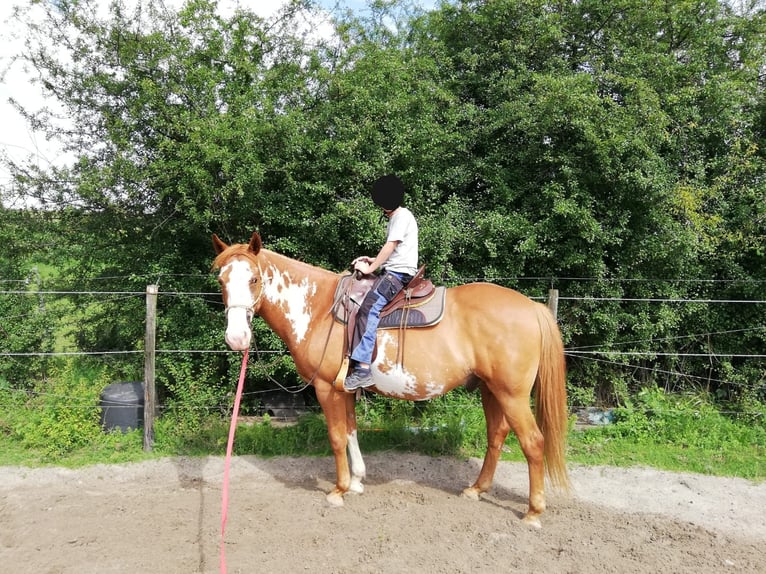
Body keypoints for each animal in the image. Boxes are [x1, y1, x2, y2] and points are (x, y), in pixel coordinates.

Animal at [212, 232, 569, 528]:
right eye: (221, 279)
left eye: (254, 278)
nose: (236, 338)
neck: (318, 308)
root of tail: (533, 308)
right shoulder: (345, 389)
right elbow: (351, 431)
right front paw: (357, 481)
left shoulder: (327, 389)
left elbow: (336, 437)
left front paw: (338, 490)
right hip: (490, 390)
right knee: (496, 436)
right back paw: (476, 489)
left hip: (512, 395)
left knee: (533, 443)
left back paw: (533, 512)